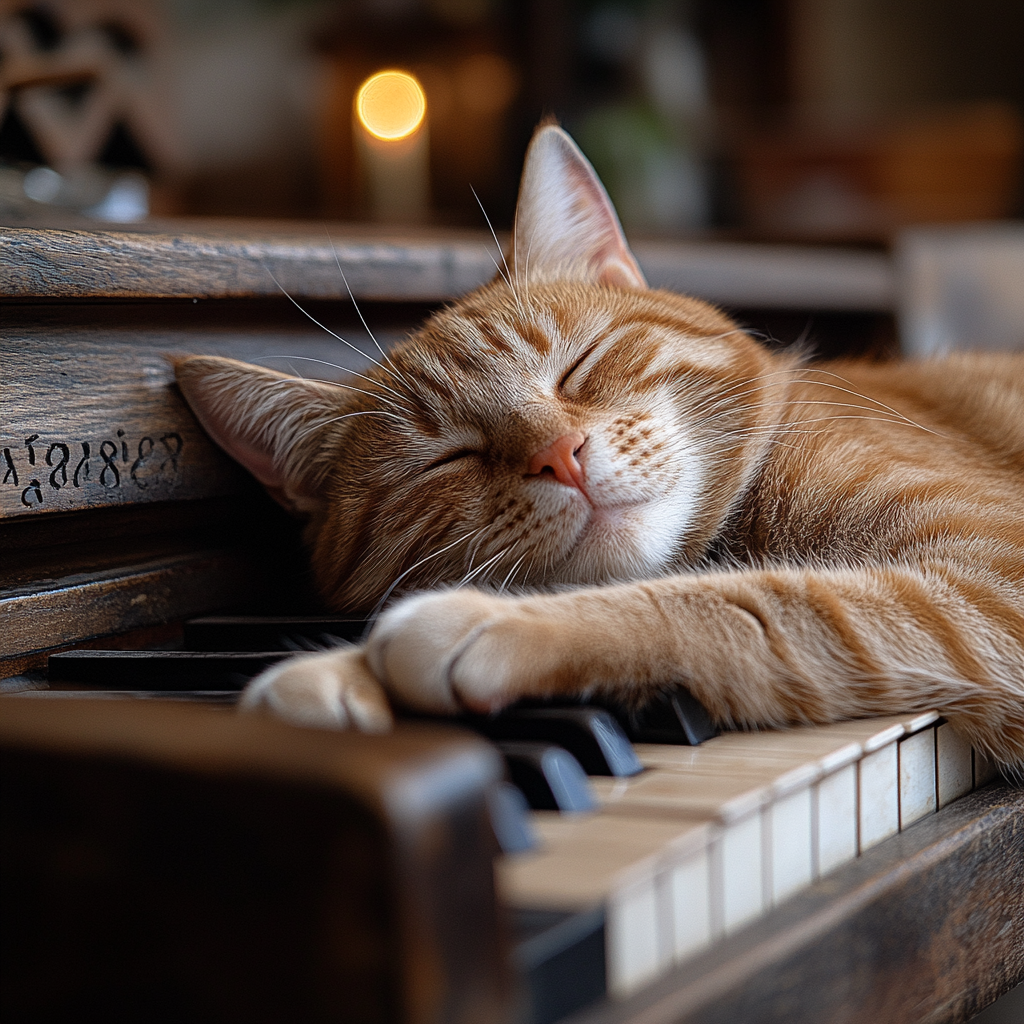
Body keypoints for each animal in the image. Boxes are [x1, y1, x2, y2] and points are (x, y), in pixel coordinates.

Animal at [174, 123, 1024, 770]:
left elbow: (758, 602)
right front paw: (336, 674)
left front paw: (485, 625)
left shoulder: (989, 582)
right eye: (448, 457)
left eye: (578, 368)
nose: (560, 454)